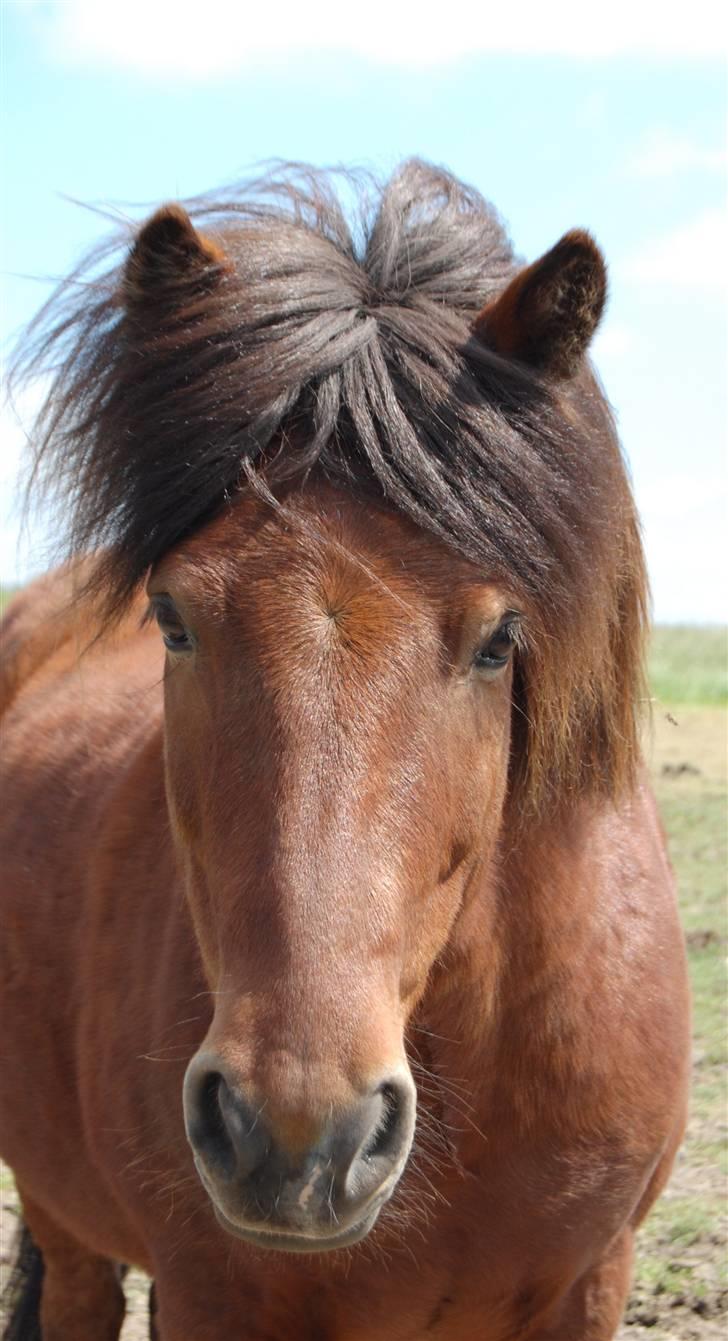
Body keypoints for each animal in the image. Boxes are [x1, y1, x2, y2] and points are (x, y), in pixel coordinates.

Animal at [2, 162, 691, 1335]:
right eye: (172, 618)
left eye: (500, 640)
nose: (294, 1137)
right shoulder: (211, 1297)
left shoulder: (592, 1282)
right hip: (62, 1213)